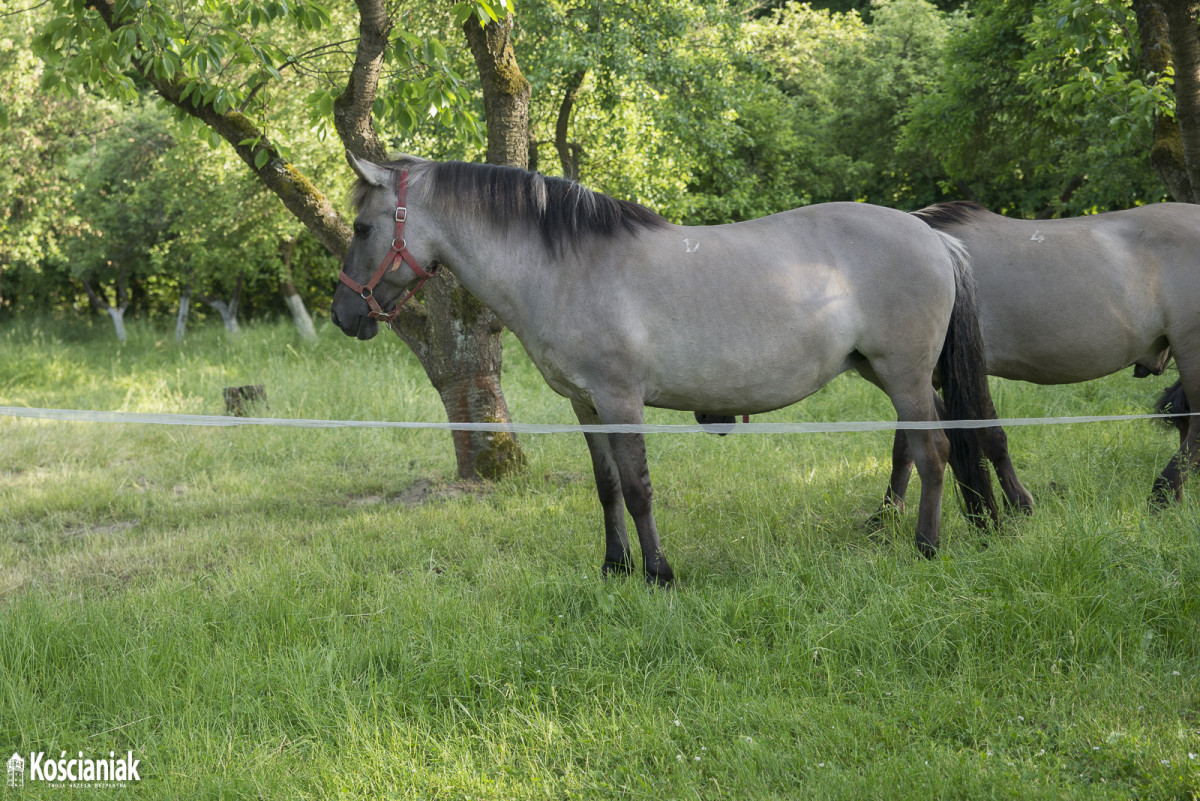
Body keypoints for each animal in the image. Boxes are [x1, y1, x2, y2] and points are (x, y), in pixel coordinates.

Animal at [331, 153, 1003, 585]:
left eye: (362, 227)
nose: (342, 314)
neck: (567, 269)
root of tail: (930, 235)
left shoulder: (620, 400)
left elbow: (637, 487)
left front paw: (657, 572)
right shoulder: (586, 405)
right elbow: (606, 488)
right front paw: (614, 567)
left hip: (904, 374)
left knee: (935, 450)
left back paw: (925, 547)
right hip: (885, 374)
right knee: (928, 443)